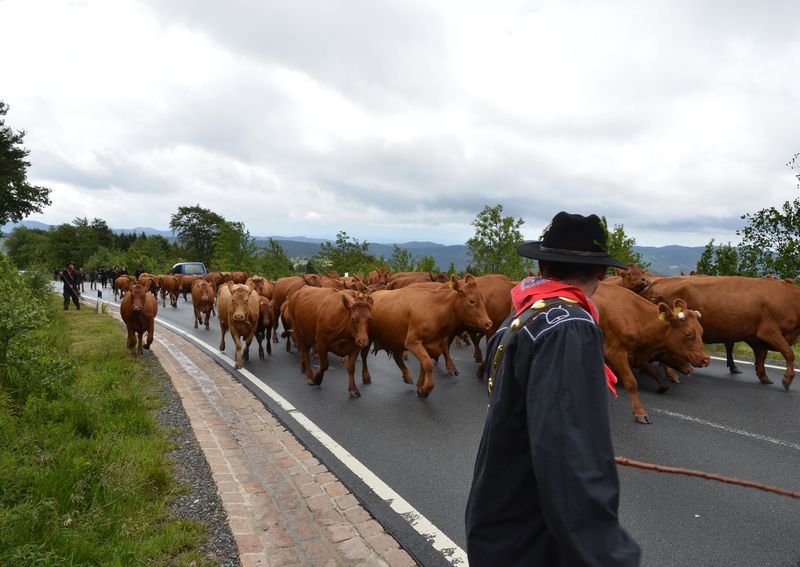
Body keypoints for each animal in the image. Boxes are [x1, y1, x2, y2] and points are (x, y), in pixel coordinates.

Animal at [592, 286, 708, 424]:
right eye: (688, 333)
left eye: (701, 331)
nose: (706, 359)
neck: (636, 317)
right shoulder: (616, 352)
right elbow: (631, 383)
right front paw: (640, 412)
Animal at [648, 276, 800, 390]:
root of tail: (661, 280)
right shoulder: (769, 332)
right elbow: (789, 354)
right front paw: (787, 379)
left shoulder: (757, 338)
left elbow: (762, 356)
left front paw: (763, 376)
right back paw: (672, 375)